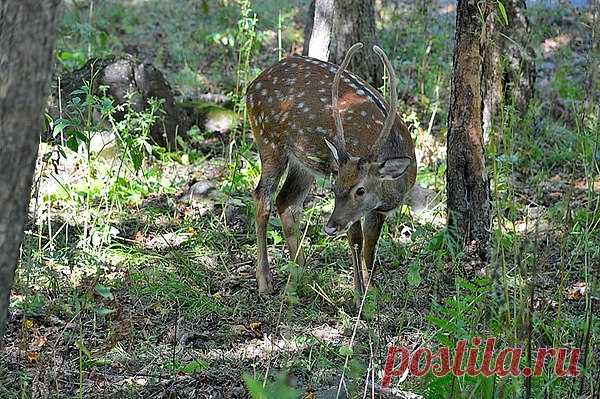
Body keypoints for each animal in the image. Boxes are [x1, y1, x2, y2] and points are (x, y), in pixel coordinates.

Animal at [246, 43, 414, 300]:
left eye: (360, 190)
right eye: (334, 187)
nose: (330, 227)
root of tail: (251, 86)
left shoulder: (378, 210)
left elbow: (370, 245)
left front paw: (371, 292)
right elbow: (356, 239)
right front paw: (358, 296)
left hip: (302, 162)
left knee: (286, 201)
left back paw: (299, 276)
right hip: (268, 140)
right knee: (262, 196)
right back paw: (265, 281)